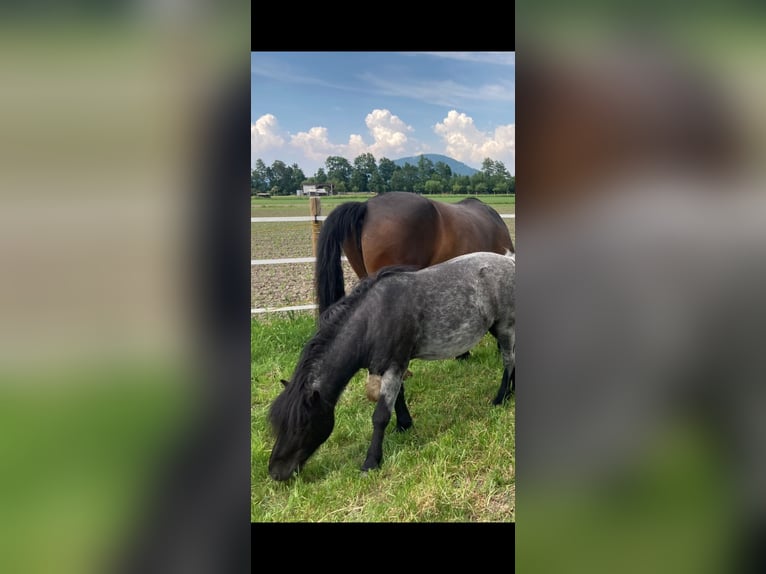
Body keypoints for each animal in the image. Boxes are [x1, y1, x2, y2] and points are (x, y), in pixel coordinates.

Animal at [268, 252, 516, 482]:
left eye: (301, 426)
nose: (275, 472)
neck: (373, 320)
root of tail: (510, 262)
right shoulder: (390, 367)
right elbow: (398, 398)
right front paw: (404, 425)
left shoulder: (394, 367)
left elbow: (380, 416)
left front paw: (371, 462)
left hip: (504, 327)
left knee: (509, 361)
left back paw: (501, 397)